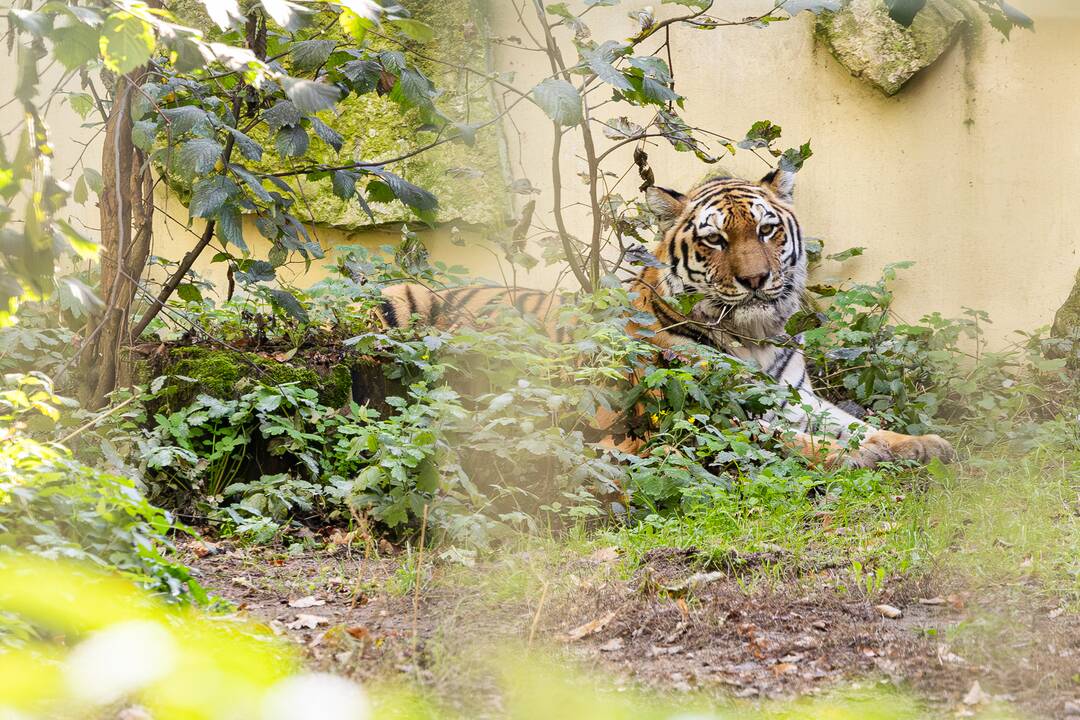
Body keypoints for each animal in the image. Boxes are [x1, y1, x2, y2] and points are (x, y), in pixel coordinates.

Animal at [373, 171, 954, 470]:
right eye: (714, 238)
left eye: (766, 230)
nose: (757, 280)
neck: (756, 338)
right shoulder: (697, 415)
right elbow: (790, 440)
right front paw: (858, 458)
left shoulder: (792, 396)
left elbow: (854, 423)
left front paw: (918, 443)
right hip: (396, 301)